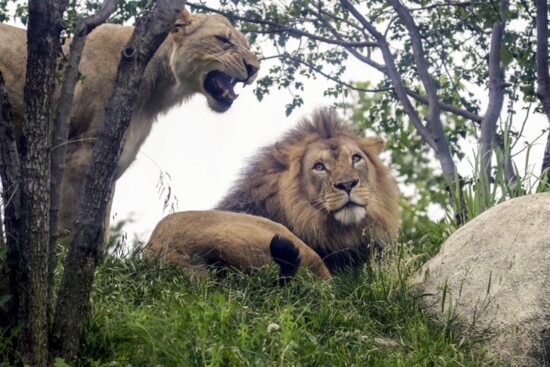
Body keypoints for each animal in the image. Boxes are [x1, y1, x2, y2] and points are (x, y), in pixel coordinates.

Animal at [0, 10, 262, 236]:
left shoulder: (113, 164)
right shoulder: (80, 156)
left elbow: (98, 228)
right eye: (223, 40)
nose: (254, 68)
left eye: (247, 46)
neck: (157, 93)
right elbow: (68, 224)